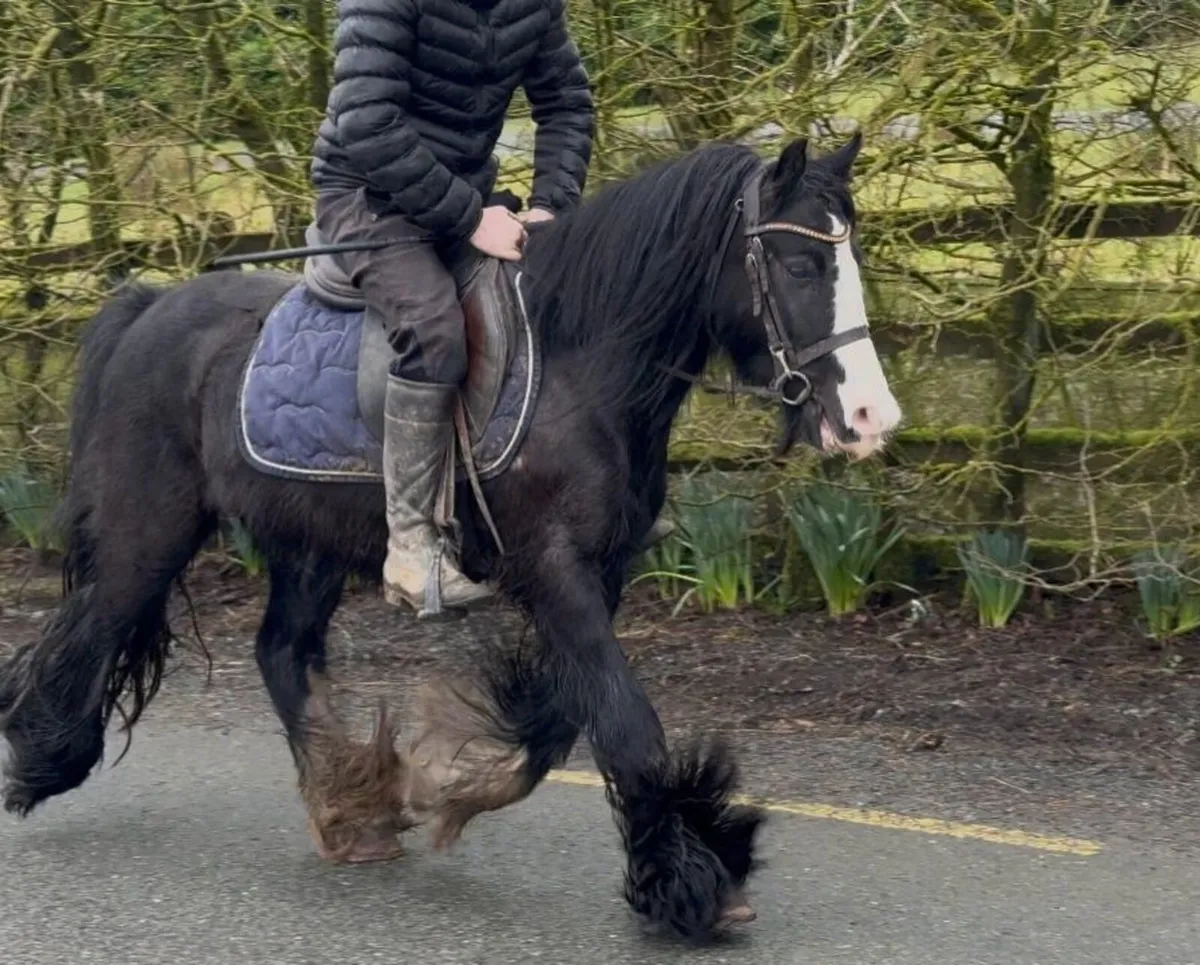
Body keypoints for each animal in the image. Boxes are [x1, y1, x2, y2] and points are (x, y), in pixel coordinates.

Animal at [0, 133, 901, 940]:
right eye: (800, 266)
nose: (870, 418)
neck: (578, 362)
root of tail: (149, 306)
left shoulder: (596, 572)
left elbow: (561, 717)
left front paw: (446, 782)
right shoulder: (555, 568)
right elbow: (624, 720)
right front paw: (686, 881)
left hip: (309, 543)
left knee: (279, 649)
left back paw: (349, 806)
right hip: (148, 529)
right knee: (95, 623)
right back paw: (40, 755)